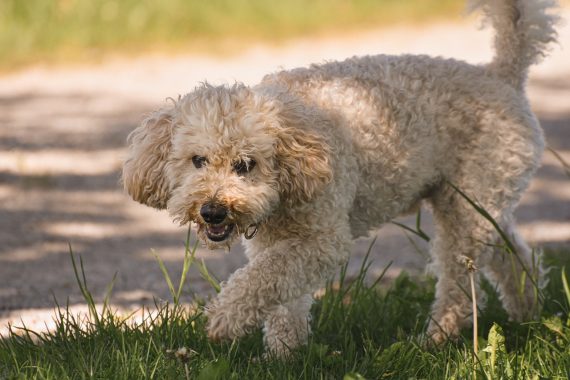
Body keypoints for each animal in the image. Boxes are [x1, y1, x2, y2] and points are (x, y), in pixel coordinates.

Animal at [123, 0, 556, 356]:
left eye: (246, 165)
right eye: (197, 160)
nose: (212, 211)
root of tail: (500, 74)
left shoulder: (322, 239)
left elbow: (261, 281)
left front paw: (225, 320)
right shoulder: (274, 243)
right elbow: (280, 292)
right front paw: (285, 353)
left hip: (468, 206)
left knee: (458, 285)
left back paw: (438, 337)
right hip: (475, 202)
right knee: (512, 254)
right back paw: (528, 308)